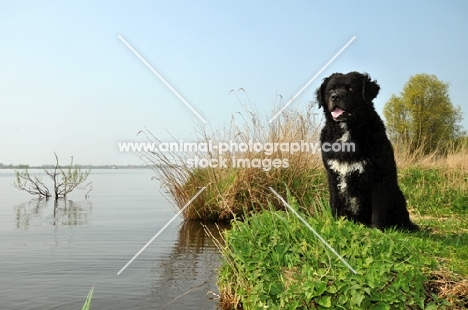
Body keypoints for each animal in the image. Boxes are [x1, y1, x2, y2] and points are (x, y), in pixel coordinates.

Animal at [316, 71, 418, 230]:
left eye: (351, 88)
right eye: (331, 90)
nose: (335, 96)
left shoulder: (378, 176)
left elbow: (378, 209)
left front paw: (377, 230)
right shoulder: (333, 175)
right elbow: (335, 203)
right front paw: (336, 224)